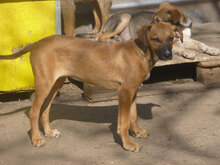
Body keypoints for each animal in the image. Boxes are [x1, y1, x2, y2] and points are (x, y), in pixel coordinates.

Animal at [0, 22, 182, 152]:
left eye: (171, 38)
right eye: (155, 39)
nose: (168, 55)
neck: (141, 52)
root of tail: (37, 43)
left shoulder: (134, 91)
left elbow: (133, 115)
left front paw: (137, 132)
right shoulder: (124, 92)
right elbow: (123, 122)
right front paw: (128, 144)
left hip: (56, 82)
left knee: (45, 109)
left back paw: (49, 132)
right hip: (45, 83)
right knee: (33, 111)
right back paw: (37, 139)